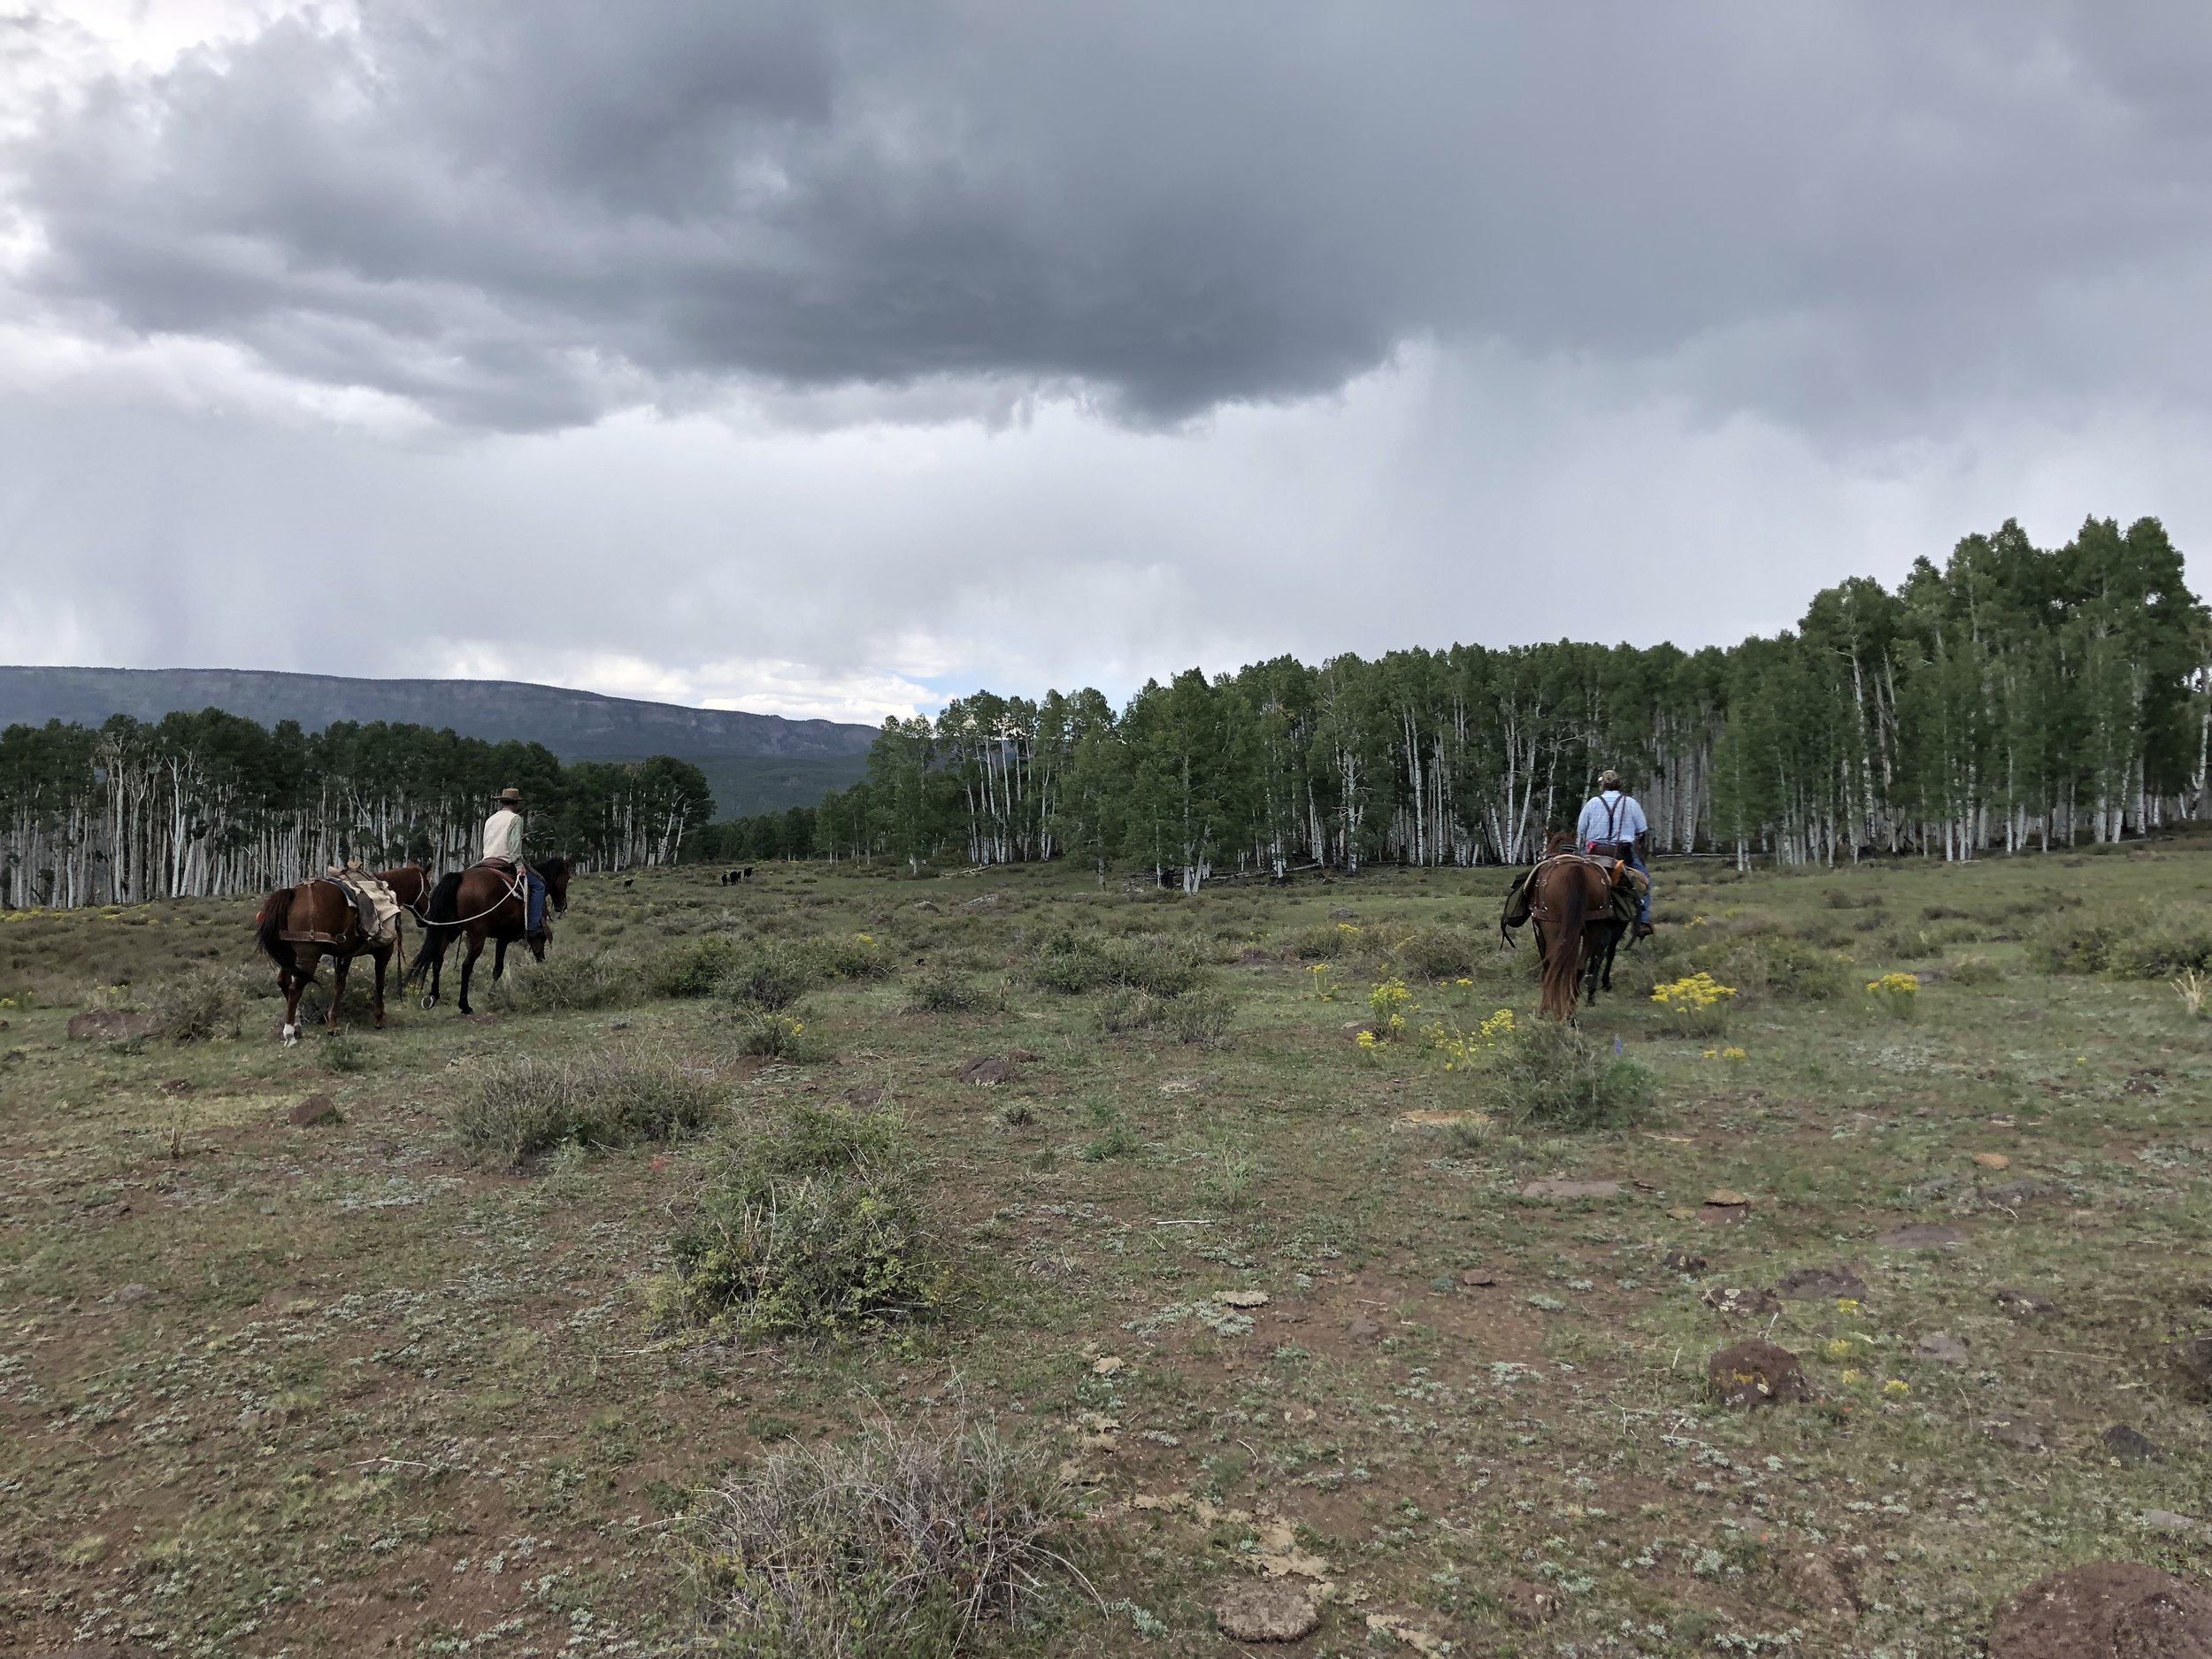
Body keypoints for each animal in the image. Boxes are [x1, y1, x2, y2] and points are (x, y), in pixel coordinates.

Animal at [255, 878, 395, 1043]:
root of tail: (293, 892)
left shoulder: (345, 954)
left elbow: (340, 985)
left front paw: (333, 1024)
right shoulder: (384, 951)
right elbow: (379, 983)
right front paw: (378, 1017)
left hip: (289, 956)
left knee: (284, 982)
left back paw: (297, 1026)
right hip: (308, 956)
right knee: (295, 989)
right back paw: (289, 1033)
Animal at [409, 855, 571, 1014]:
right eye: (568, 877)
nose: (562, 906)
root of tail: (459, 877)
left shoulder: (502, 938)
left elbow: (498, 968)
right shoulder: (529, 937)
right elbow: (516, 963)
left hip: (445, 931)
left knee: (437, 960)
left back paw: (434, 996)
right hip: (477, 937)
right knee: (466, 966)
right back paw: (464, 1005)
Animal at [1526, 831, 1628, 1021]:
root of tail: (1576, 870)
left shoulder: (1541, 930)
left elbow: (1547, 963)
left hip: (1553, 926)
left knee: (1554, 963)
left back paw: (1550, 1008)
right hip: (1594, 925)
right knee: (1580, 966)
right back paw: (1570, 1012)